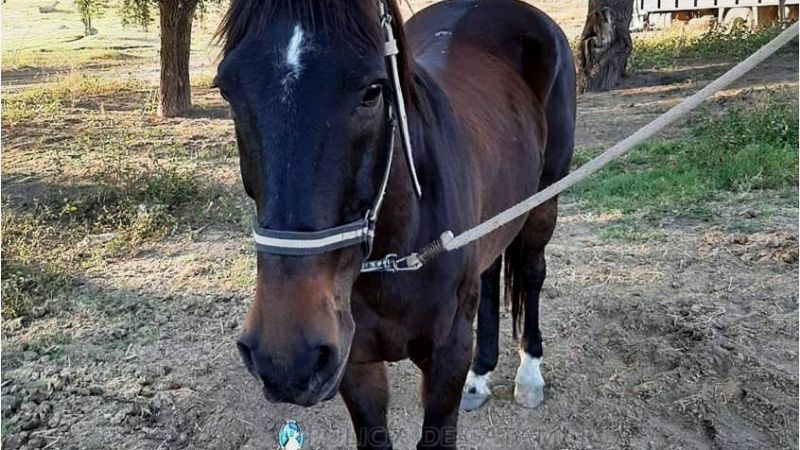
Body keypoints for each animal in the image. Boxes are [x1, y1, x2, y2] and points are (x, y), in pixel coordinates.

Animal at [215, 0, 575, 448]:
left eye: (373, 90)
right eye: (227, 90)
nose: (285, 356)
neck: (397, 252)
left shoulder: (447, 357)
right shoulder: (354, 363)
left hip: (545, 199)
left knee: (531, 272)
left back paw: (529, 375)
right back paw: (480, 376)